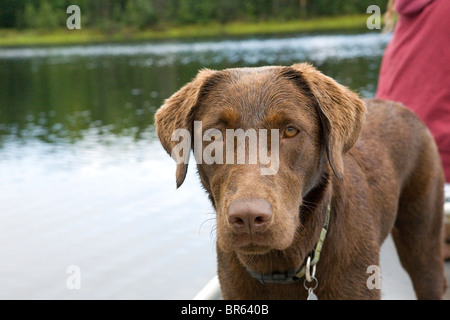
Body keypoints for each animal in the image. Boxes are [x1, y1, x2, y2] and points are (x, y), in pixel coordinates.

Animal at [156, 63, 446, 300]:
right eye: (214, 134)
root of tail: (402, 107)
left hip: (423, 247)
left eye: (290, 130)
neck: (277, 268)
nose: (248, 217)